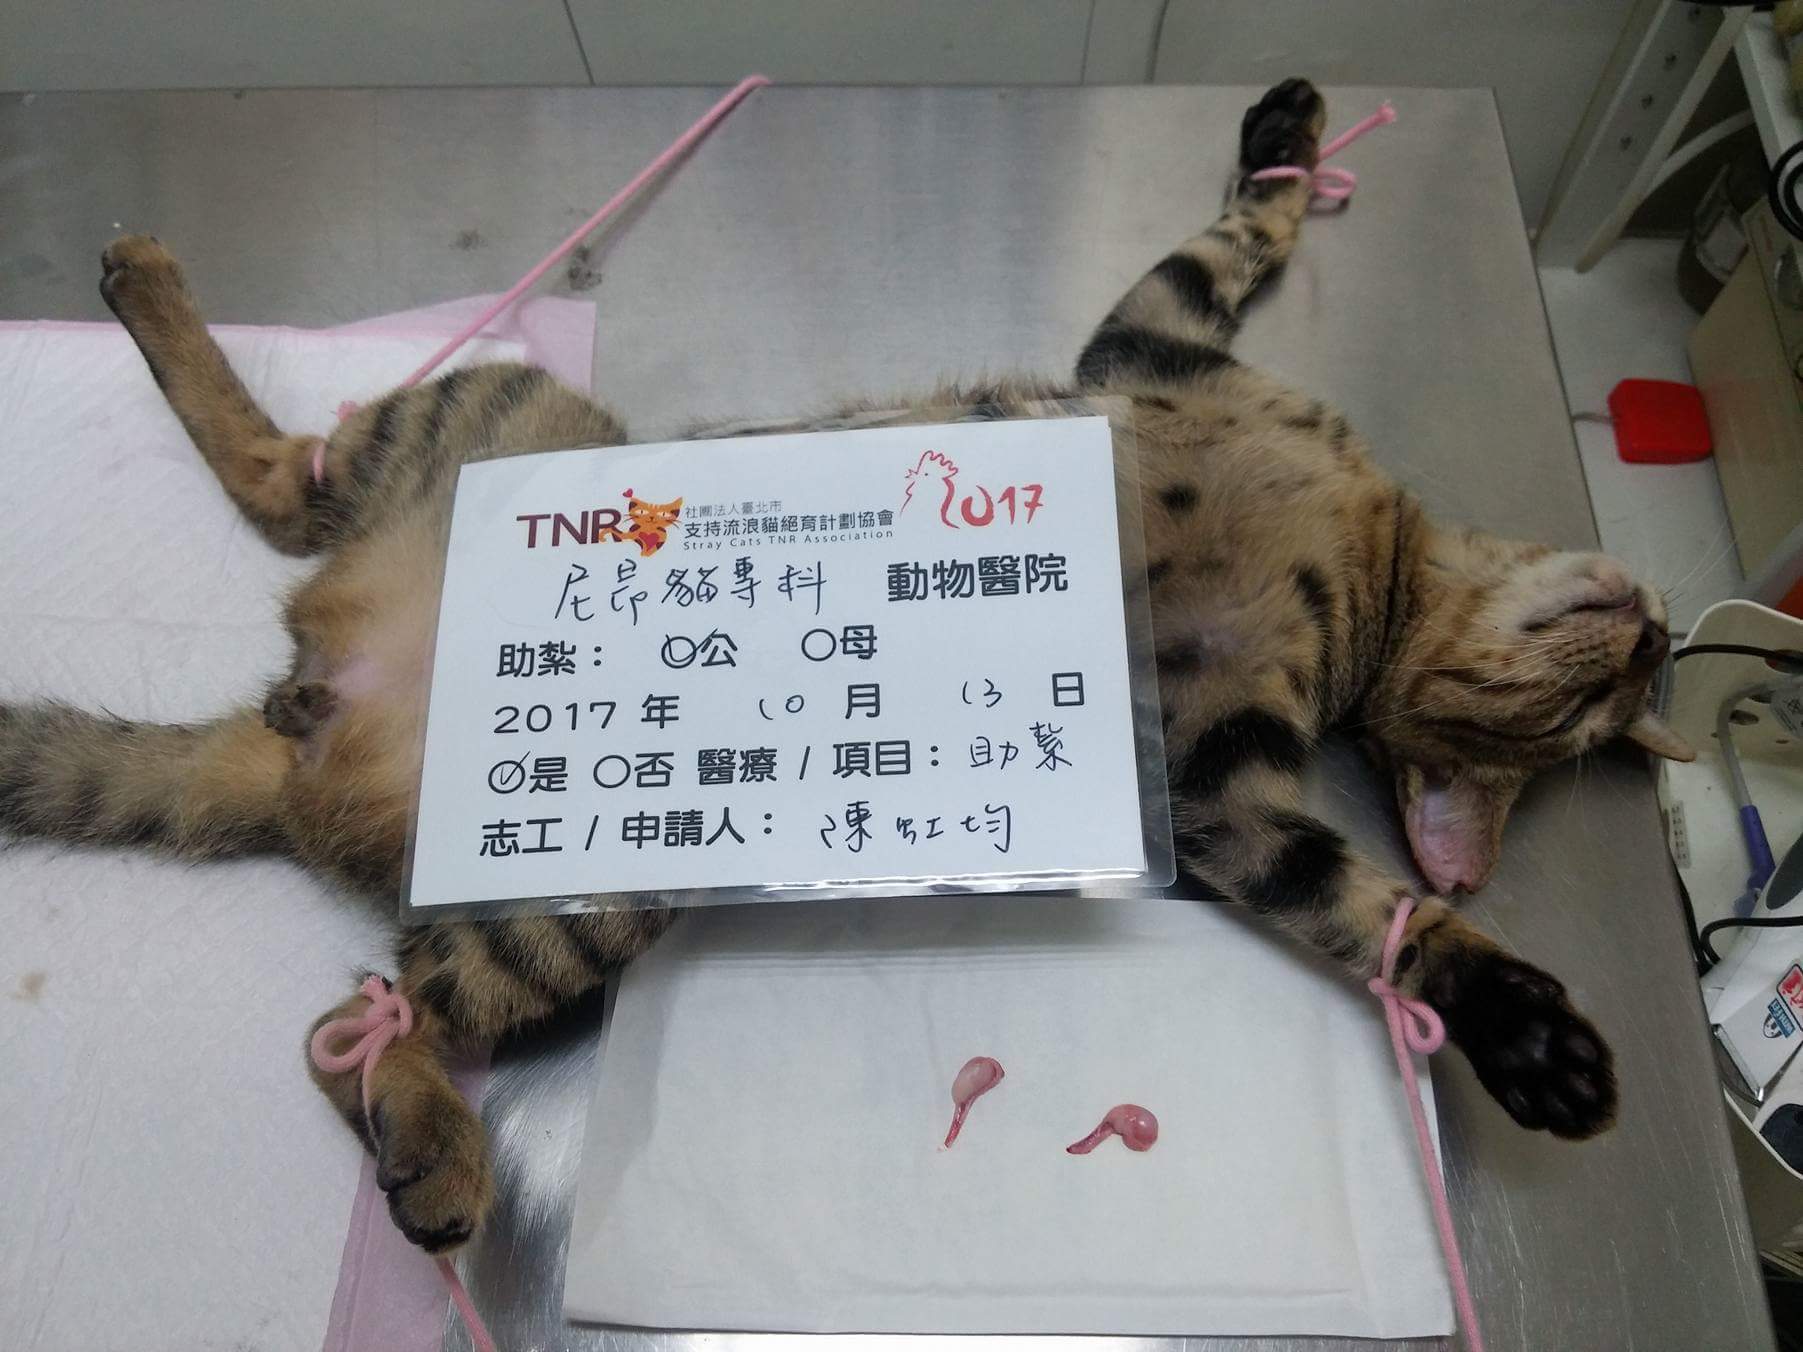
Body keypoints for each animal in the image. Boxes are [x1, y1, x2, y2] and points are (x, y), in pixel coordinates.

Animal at [0, 79, 1694, 1254]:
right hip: (499, 424)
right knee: (280, 485)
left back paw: (427, 1157)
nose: (1660, 634)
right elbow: (1238, 229)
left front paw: (1499, 1015)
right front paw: (1284, 139)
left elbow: (1368, 906)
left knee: (353, 1015)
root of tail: (306, 719)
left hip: (581, 879)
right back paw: (142, 278)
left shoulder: (1222, 781)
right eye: (1597, 696)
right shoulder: (1153, 349)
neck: (1367, 525)